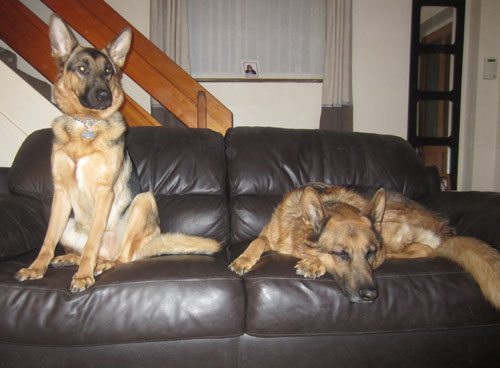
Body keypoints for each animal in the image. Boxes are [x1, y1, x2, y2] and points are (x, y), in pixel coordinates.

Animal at [15, 15, 220, 294]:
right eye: (82, 68)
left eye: (108, 71)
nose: (105, 96)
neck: (86, 125)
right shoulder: (61, 191)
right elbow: (48, 239)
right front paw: (36, 268)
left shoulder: (105, 191)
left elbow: (92, 242)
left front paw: (83, 276)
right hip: (70, 224)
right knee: (84, 249)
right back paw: (71, 259)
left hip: (143, 201)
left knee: (120, 256)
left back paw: (102, 265)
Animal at [229, 183, 500, 308]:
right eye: (341, 254)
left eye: (368, 253)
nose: (371, 296)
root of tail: (445, 229)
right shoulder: (270, 236)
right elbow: (258, 239)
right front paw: (244, 259)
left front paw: (313, 261)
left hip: (388, 221)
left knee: (422, 249)